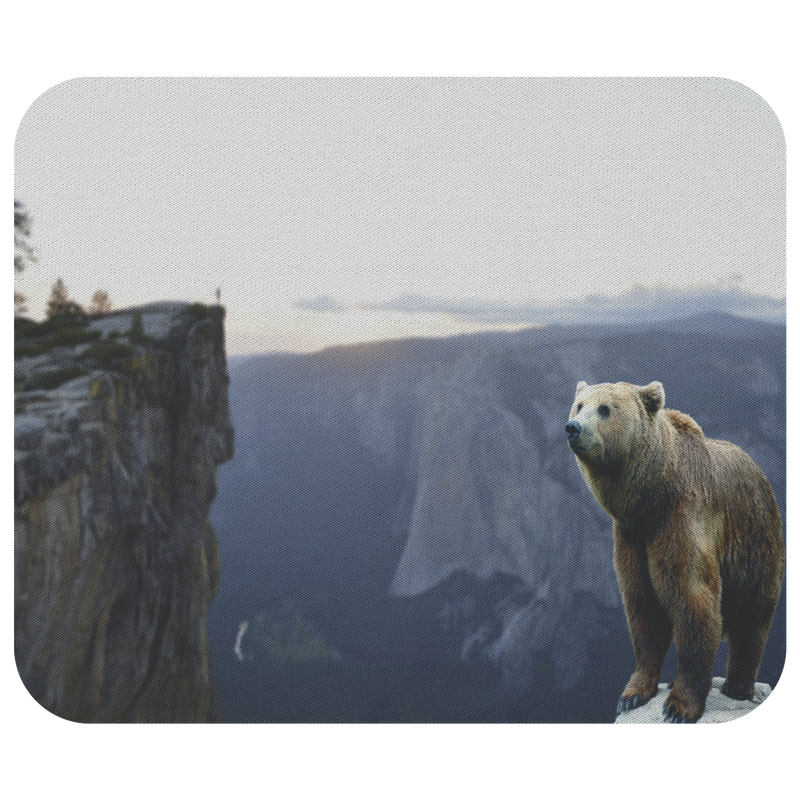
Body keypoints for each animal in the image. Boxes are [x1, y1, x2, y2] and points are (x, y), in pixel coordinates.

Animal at [565, 380, 784, 726]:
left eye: (605, 409)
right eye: (579, 405)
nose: (573, 427)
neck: (650, 495)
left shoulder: (681, 517)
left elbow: (692, 596)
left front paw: (679, 707)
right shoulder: (631, 536)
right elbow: (641, 605)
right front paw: (633, 694)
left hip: (755, 539)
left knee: (752, 614)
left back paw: (737, 686)